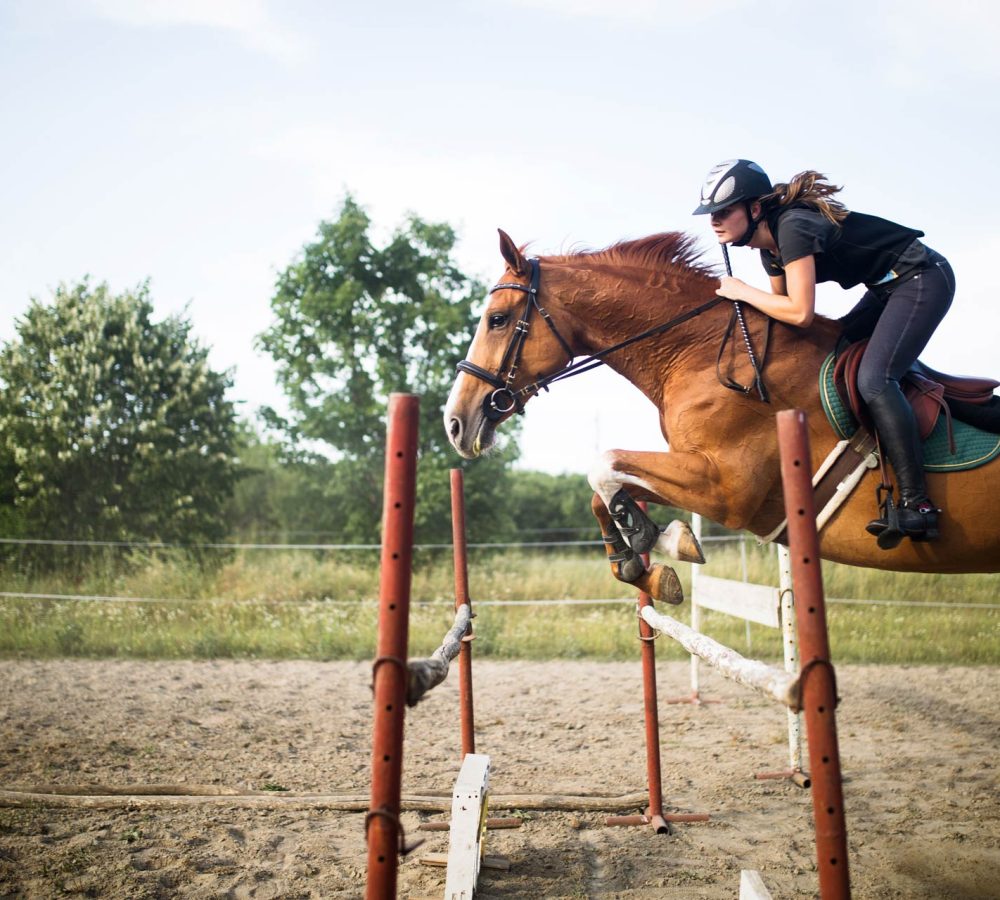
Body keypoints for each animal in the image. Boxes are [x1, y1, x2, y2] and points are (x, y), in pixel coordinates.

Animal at [444, 229, 1000, 605]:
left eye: (497, 320)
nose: (455, 423)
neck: (702, 353)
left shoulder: (727, 489)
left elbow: (603, 464)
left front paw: (664, 540)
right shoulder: (693, 465)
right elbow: (607, 487)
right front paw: (638, 560)